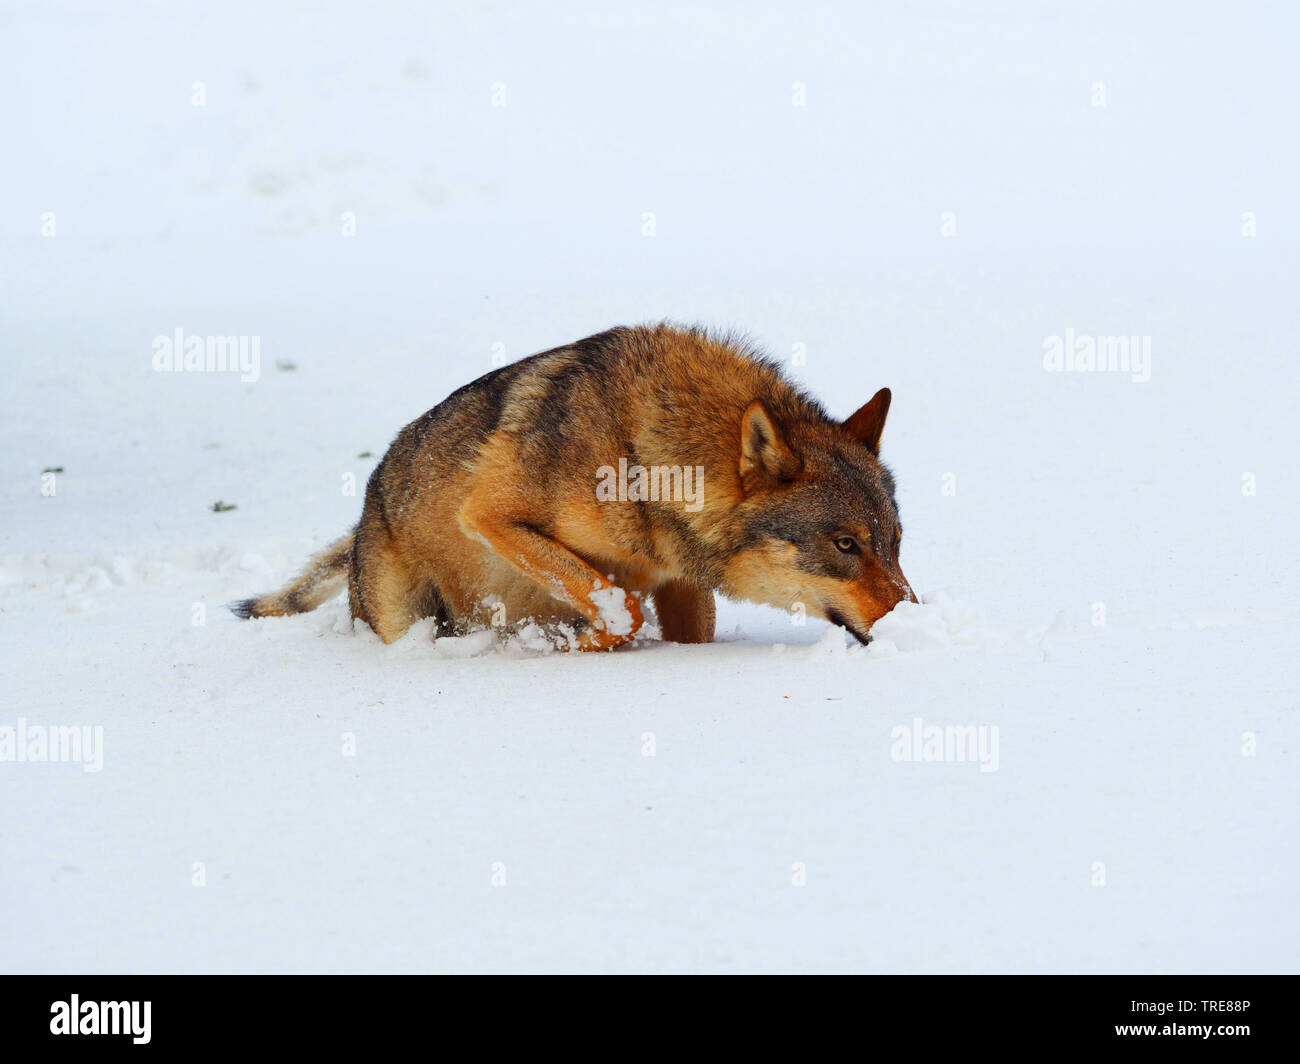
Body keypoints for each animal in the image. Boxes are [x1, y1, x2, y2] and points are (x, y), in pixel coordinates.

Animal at [231, 318, 915, 642]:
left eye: (894, 544)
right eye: (844, 544)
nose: (914, 620)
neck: (640, 457)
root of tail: (361, 521)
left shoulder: (680, 582)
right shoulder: (490, 516)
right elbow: (620, 612)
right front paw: (566, 650)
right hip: (404, 612)